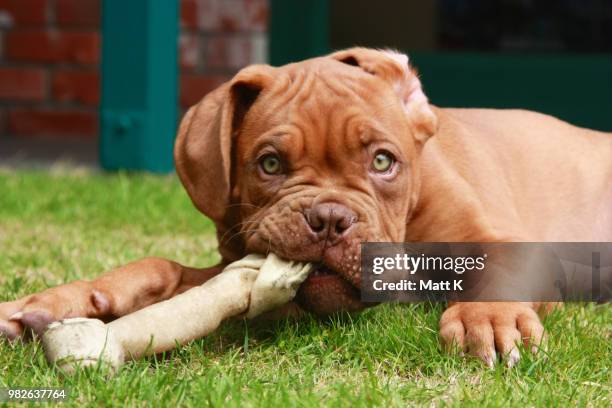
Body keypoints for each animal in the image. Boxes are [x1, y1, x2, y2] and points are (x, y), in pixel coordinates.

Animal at [1, 47, 612, 366]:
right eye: (269, 165)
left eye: (383, 161)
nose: (330, 219)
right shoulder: (241, 269)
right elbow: (162, 269)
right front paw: (59, 301)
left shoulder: (502, 240)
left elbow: (499, 269)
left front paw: (489, 318)